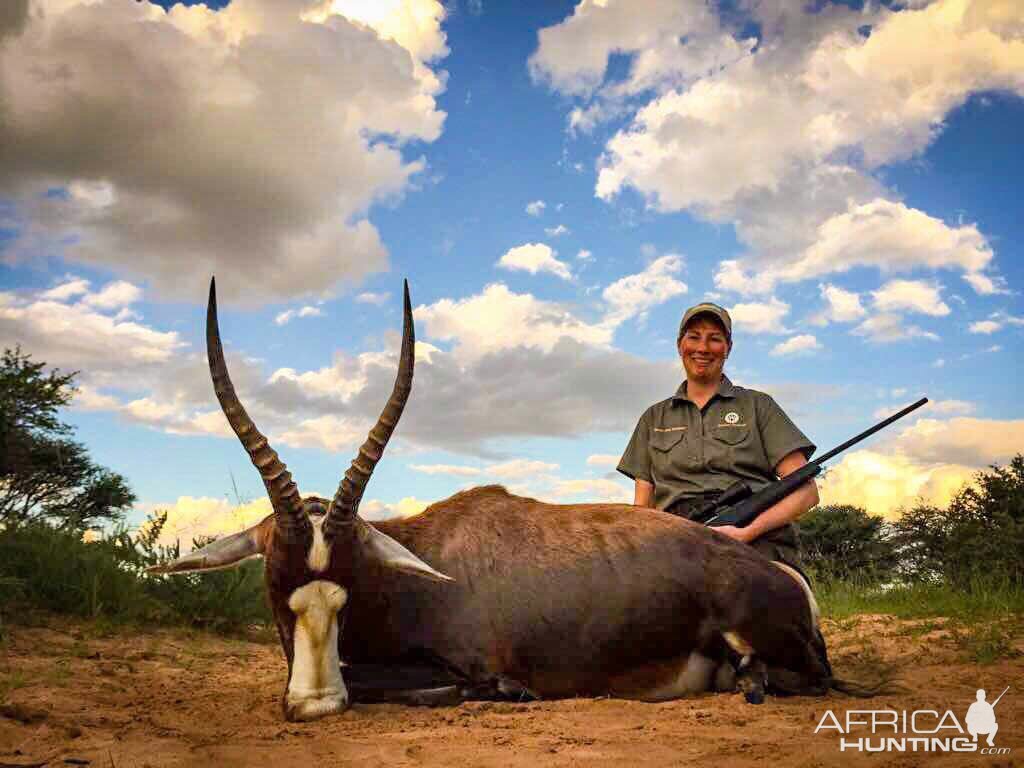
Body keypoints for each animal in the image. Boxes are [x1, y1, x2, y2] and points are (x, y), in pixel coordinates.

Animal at [151, 280, 856, 720]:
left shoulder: (460, 665)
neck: (410, 574)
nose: (316, 703)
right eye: (275, 586)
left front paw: (509, 693)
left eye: (347, 588)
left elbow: (428, 685)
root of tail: (783, 576)